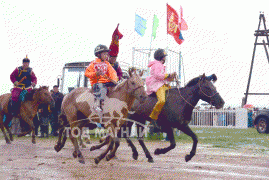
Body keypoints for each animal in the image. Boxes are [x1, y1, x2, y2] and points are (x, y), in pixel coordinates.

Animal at [94, 73, 224, 163]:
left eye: (214, 87)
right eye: (208, 87)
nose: (221, 102)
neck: (181, 101)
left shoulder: (182, 125)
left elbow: (195, 138)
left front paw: (189, 156)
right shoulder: (169, 126)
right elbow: (173, 144)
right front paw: (158, 151)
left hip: (139, 120)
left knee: (135, 138)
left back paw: (144, 155)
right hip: (128, 120)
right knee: (123, 135)